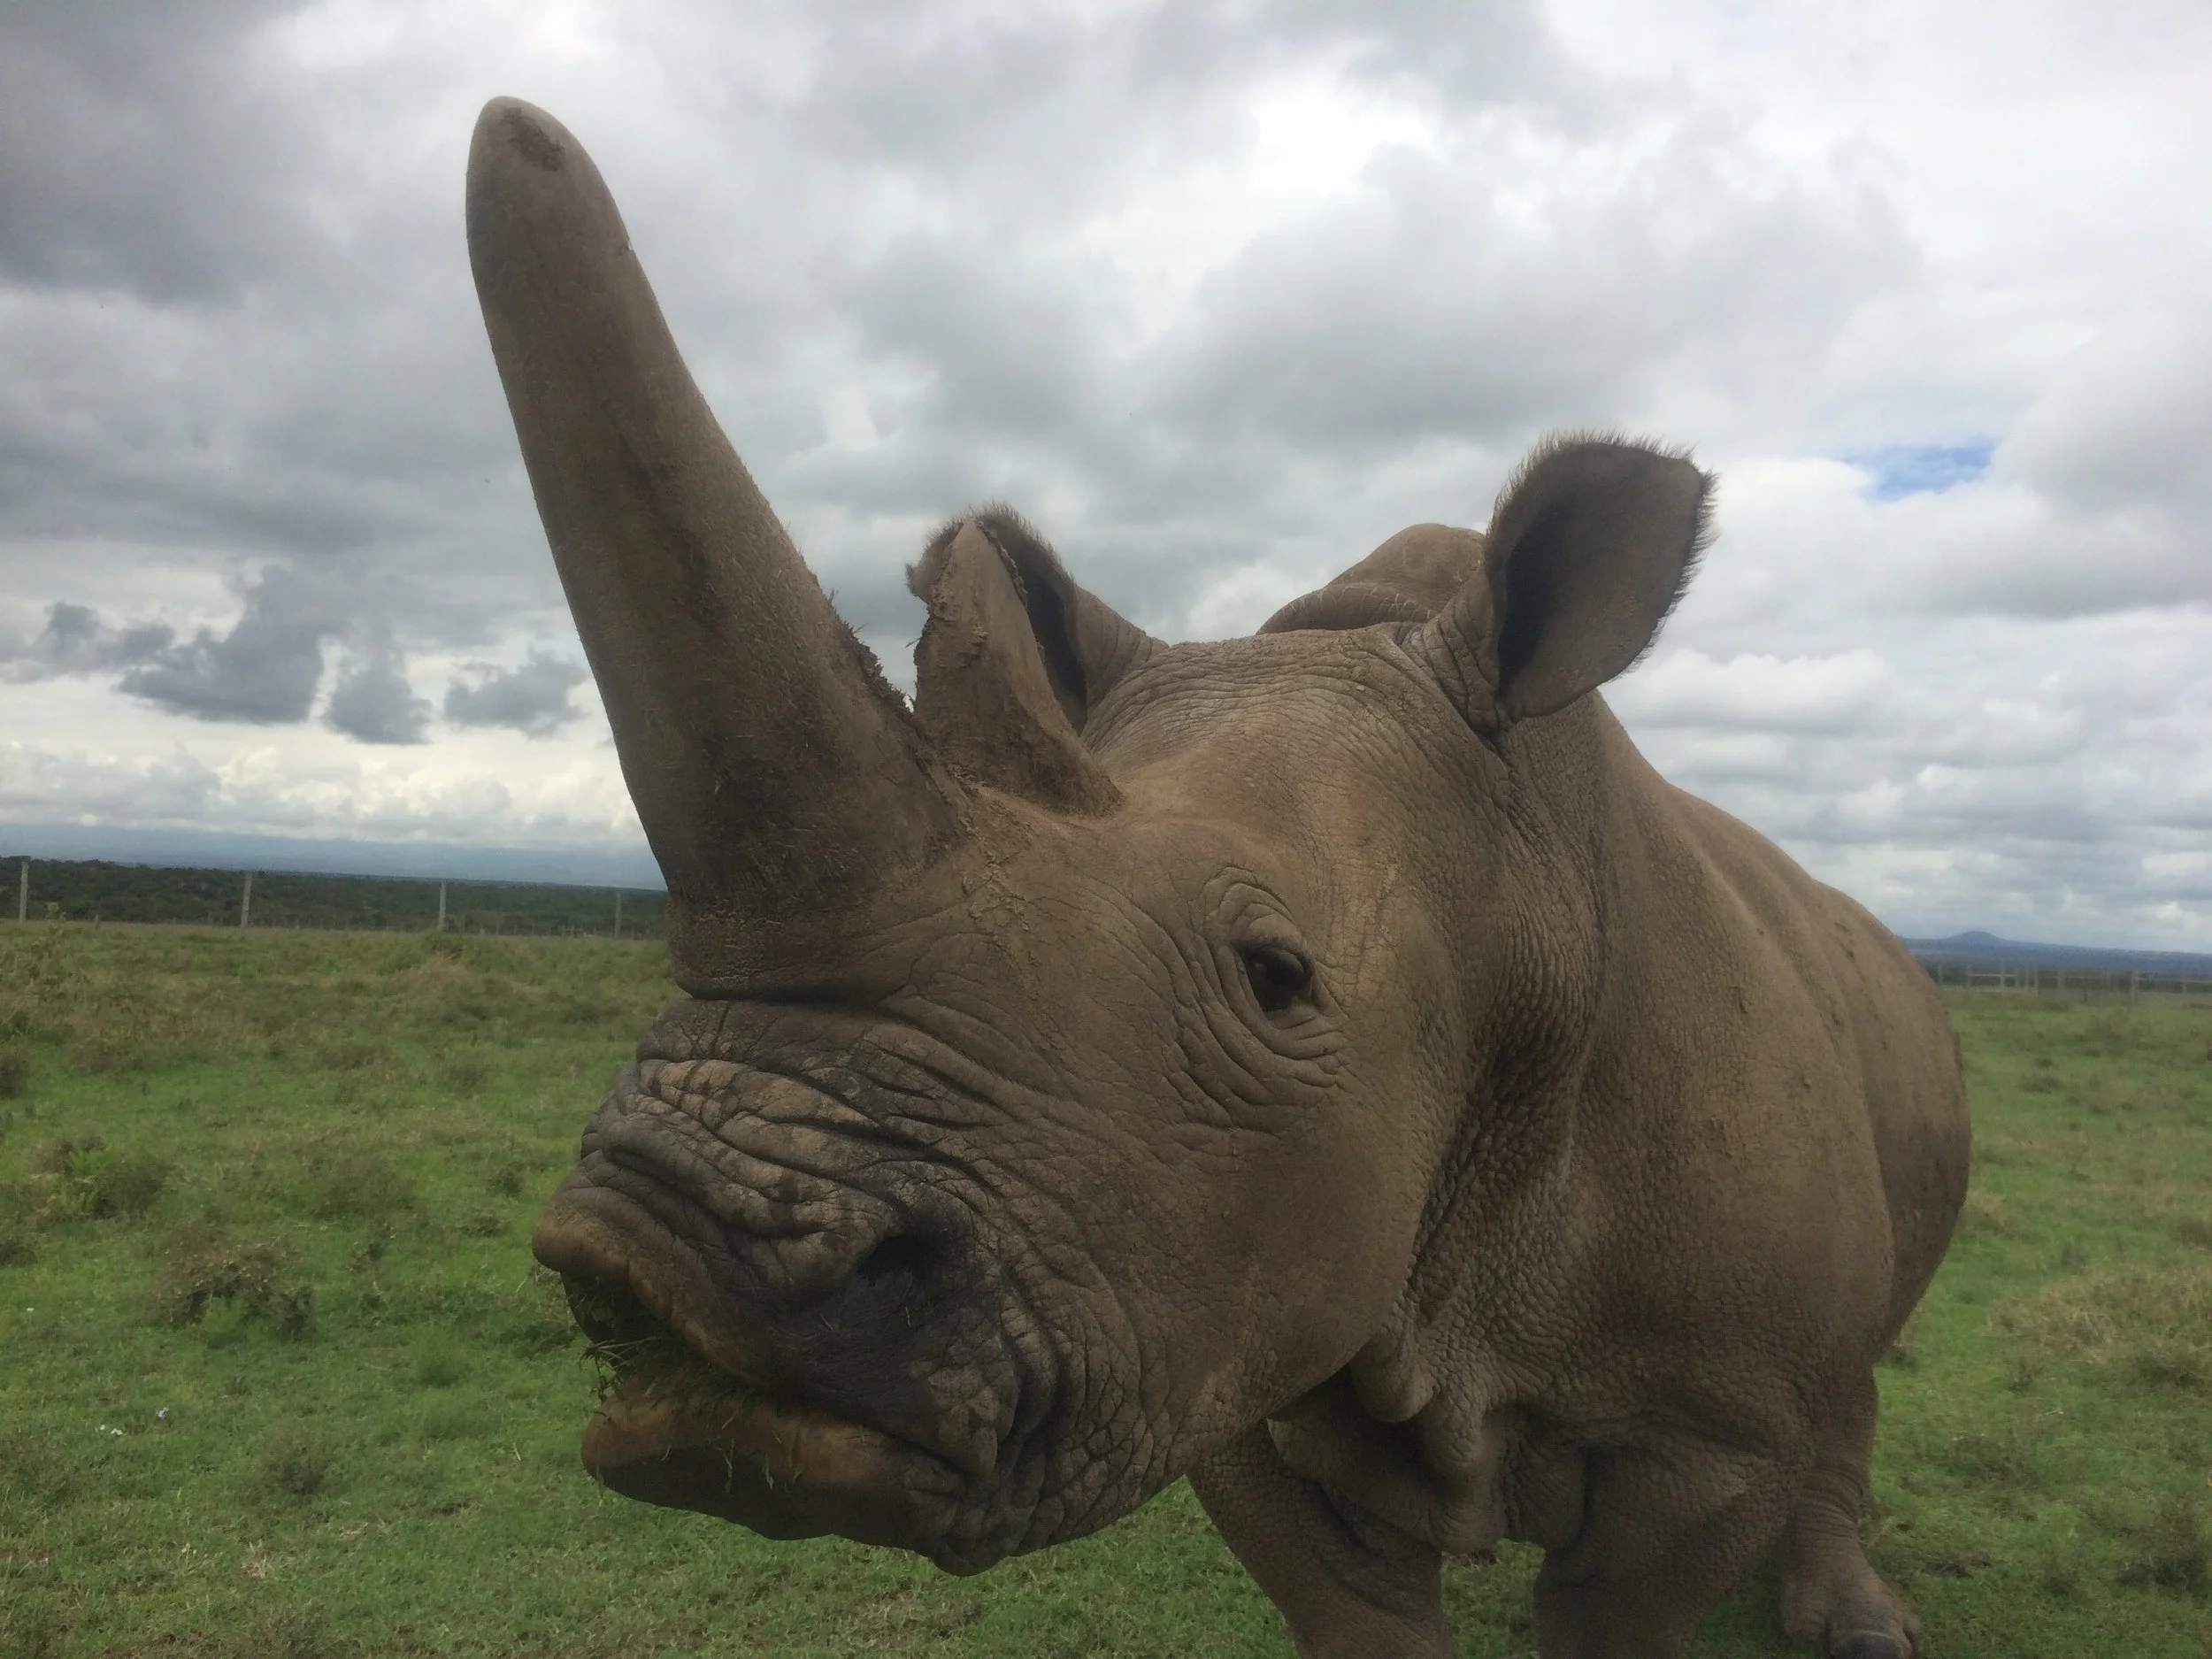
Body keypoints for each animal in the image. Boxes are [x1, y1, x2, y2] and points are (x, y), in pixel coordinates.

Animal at [469, 97, 1970, 1659]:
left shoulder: (1712, 1423)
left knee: (1859, 1359)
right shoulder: (1234, 1313)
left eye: (1276, 977)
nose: (669, 1247)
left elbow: (1629, 1599)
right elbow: (1356, 1606)